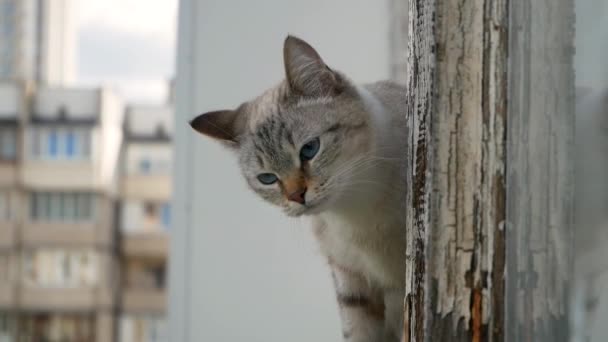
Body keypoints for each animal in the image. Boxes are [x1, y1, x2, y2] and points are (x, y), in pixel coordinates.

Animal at [190, 36, 408, 340]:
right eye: (267, 178)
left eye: (309, 150)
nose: (296, 196)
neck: (355, 211)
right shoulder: (353, 285)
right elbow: (357, 333)